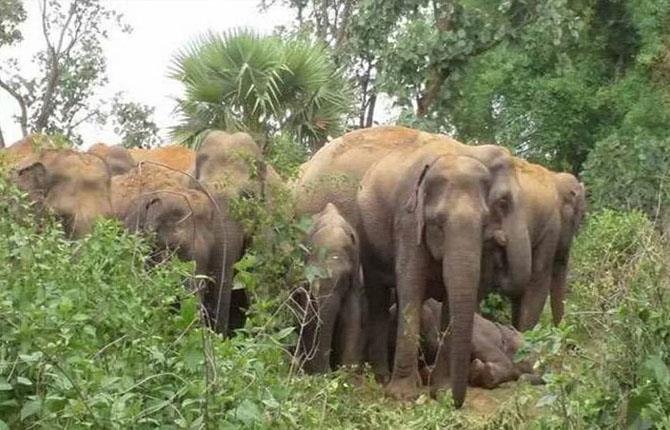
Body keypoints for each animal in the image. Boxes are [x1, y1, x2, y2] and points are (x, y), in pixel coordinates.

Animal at [296, 202, 364, 372]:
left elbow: (352, 314)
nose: (329, 372)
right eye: (312, 276)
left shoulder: (355, 276)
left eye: (344, 278)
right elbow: (308, 314)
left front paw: (348, 372)